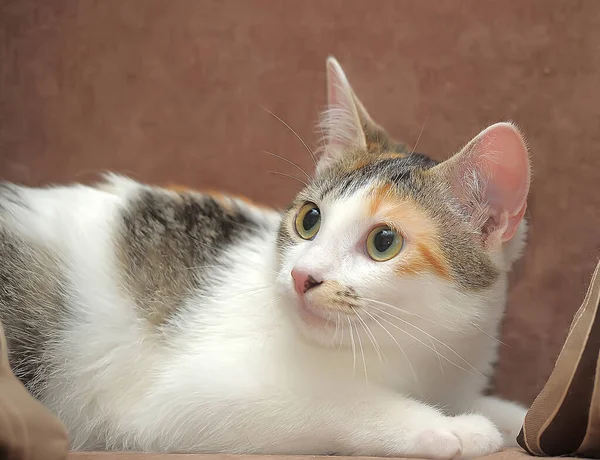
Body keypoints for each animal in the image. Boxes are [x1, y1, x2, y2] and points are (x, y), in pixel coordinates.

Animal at [0, 57, 532, 456]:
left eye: (384, 242)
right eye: (309, 220)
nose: (302, 275)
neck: (410, 354)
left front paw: (509, 414)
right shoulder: (169, 403)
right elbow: (333, 400)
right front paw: (450, 427)